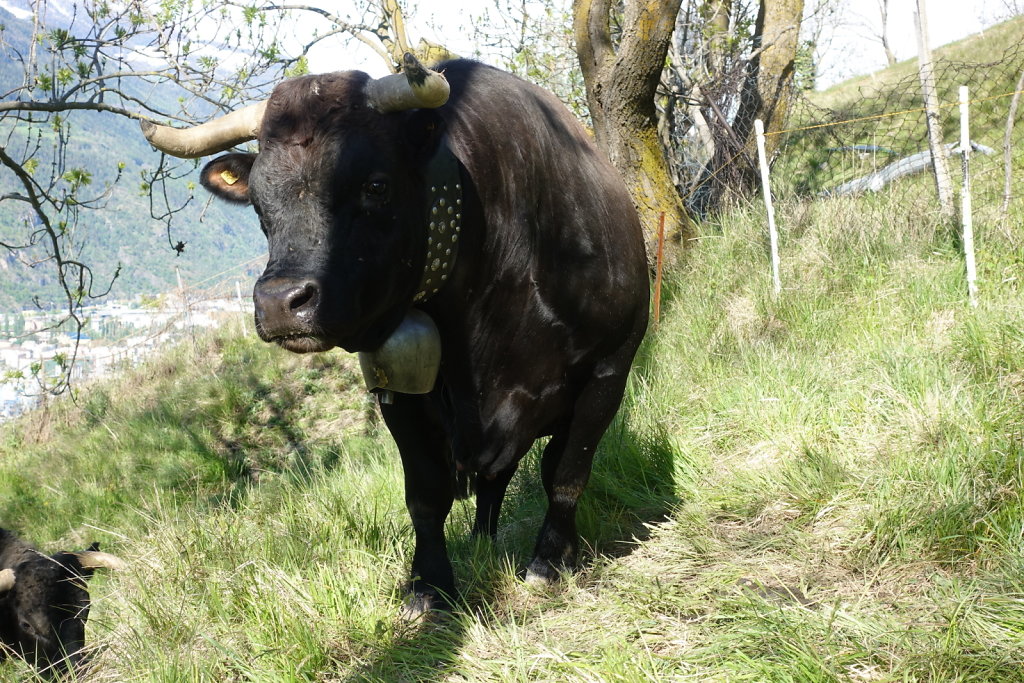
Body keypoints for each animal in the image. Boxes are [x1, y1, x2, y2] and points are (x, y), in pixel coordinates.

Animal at [139, 57, 647, 614]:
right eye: (257, 203)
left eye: (376, 186)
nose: (279, 302)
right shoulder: (400, 393)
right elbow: (426, 493)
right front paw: (429, 585)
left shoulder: (609, 370)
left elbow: (566, 474)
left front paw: (551, 561)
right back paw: (482, 543)